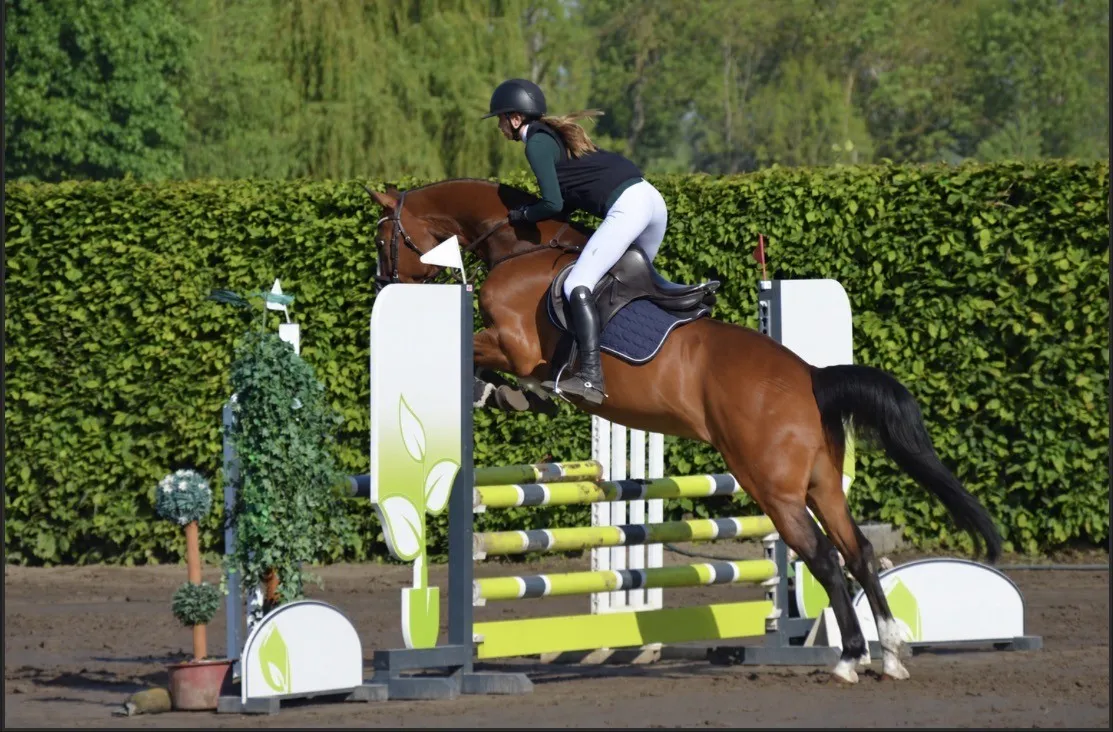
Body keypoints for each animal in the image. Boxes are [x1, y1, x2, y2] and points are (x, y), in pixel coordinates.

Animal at [366, 177, 1002, 684]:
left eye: (380, 237)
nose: (382, 282)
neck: (522, 246)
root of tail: (812, 377)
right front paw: (516, 396)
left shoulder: (513, 344)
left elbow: (484, 355)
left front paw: (498, 390)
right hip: (822, 483)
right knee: (859, 551)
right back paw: (889, 652)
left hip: (773, 488)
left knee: (823, 556)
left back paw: (849, 659)